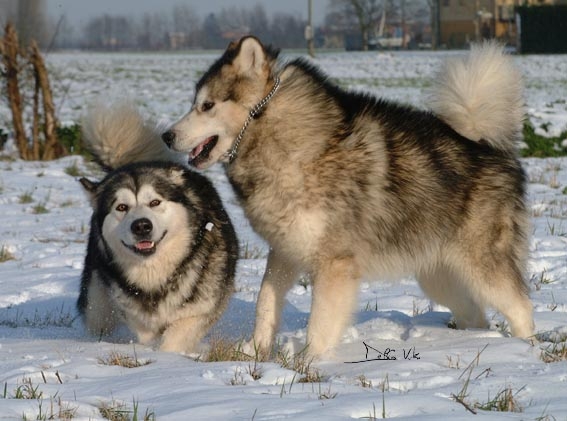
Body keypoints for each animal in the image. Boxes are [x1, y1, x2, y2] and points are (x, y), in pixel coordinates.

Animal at [77, 101, 238, 354]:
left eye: (155, 202)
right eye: (121, 207)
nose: (141, 225)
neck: (155, 275)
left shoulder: (201, 308)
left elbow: (176, 337)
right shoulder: (135, 314)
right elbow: (146, 334)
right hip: (97, 305)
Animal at [158, 36, 534, 358]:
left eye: (207, 105)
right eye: (195, 104)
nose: (166, 135)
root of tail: (489, 148)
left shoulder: (334, 263)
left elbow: (320, 321)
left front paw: (309, 362)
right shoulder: (285, 250)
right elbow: (265, 301)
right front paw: (254, 352)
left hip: (482, 267)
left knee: (521, 307)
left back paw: (526, 350)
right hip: (439, 275)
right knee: (477, 314)